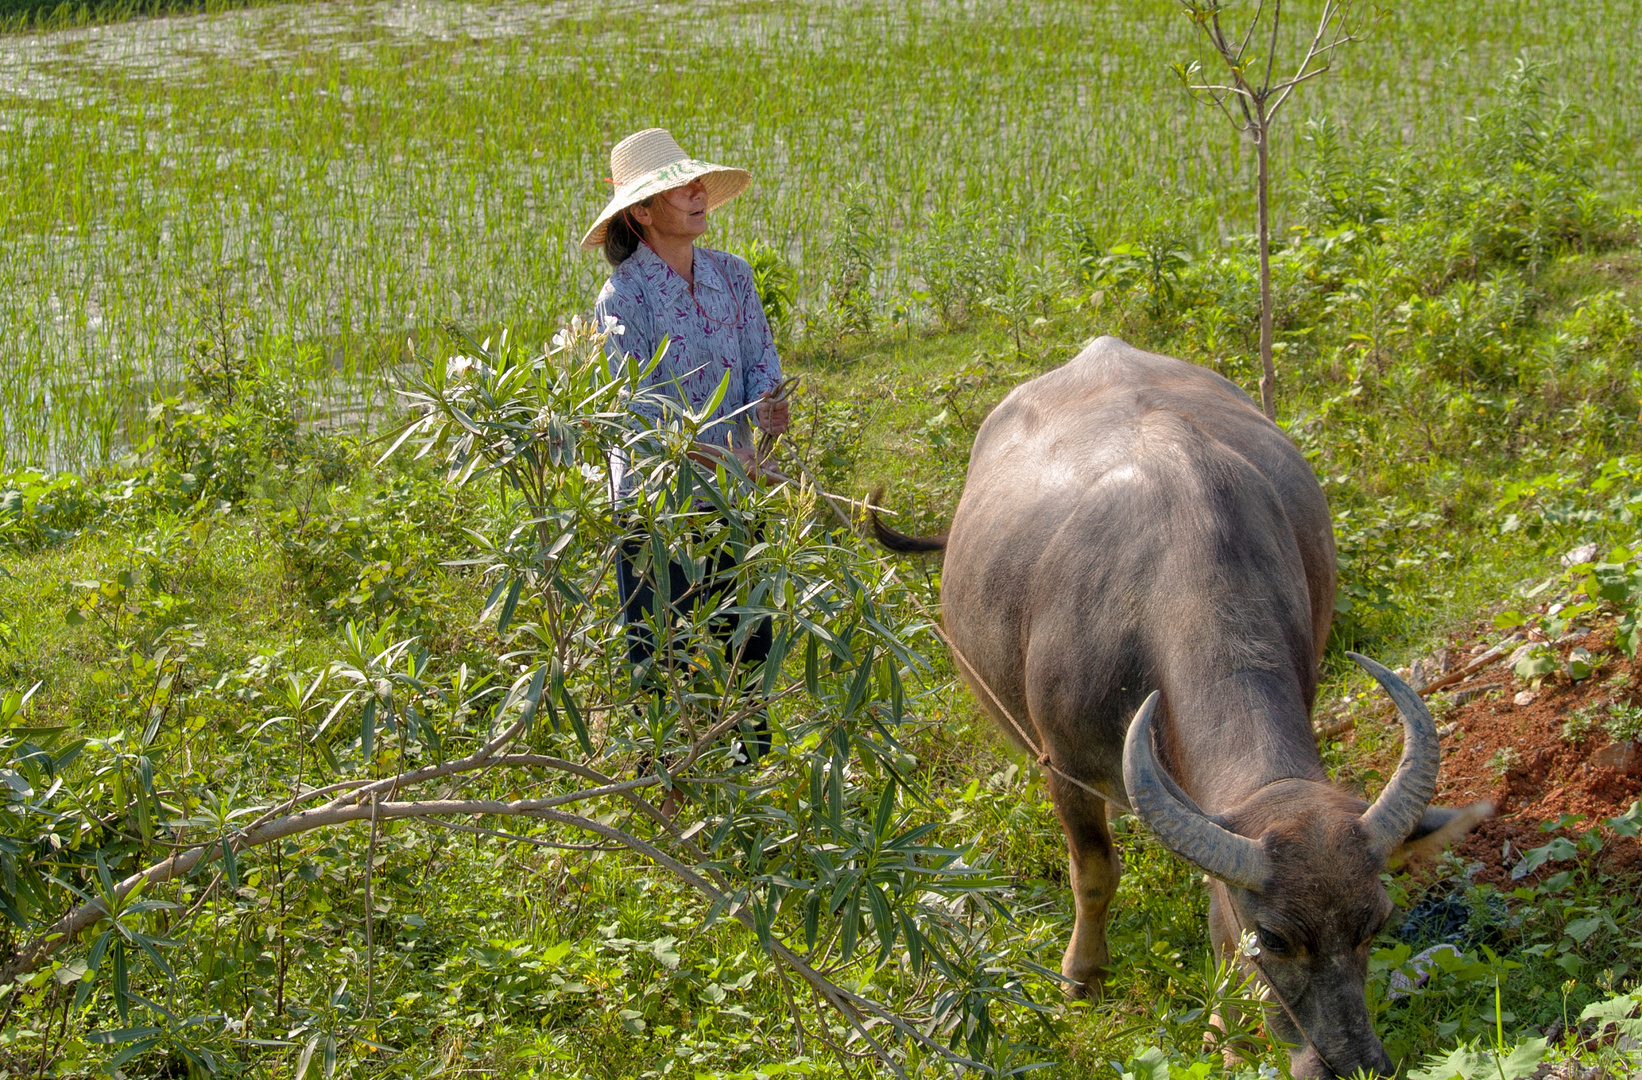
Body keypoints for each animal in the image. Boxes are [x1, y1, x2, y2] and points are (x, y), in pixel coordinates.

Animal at [880, 334, 1497, 1070]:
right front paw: (1081, 978)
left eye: (1374, 922)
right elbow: (1094, 872)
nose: (1352, 1063)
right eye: (1275, 937)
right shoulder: (1066, 766)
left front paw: (1222, 1038)